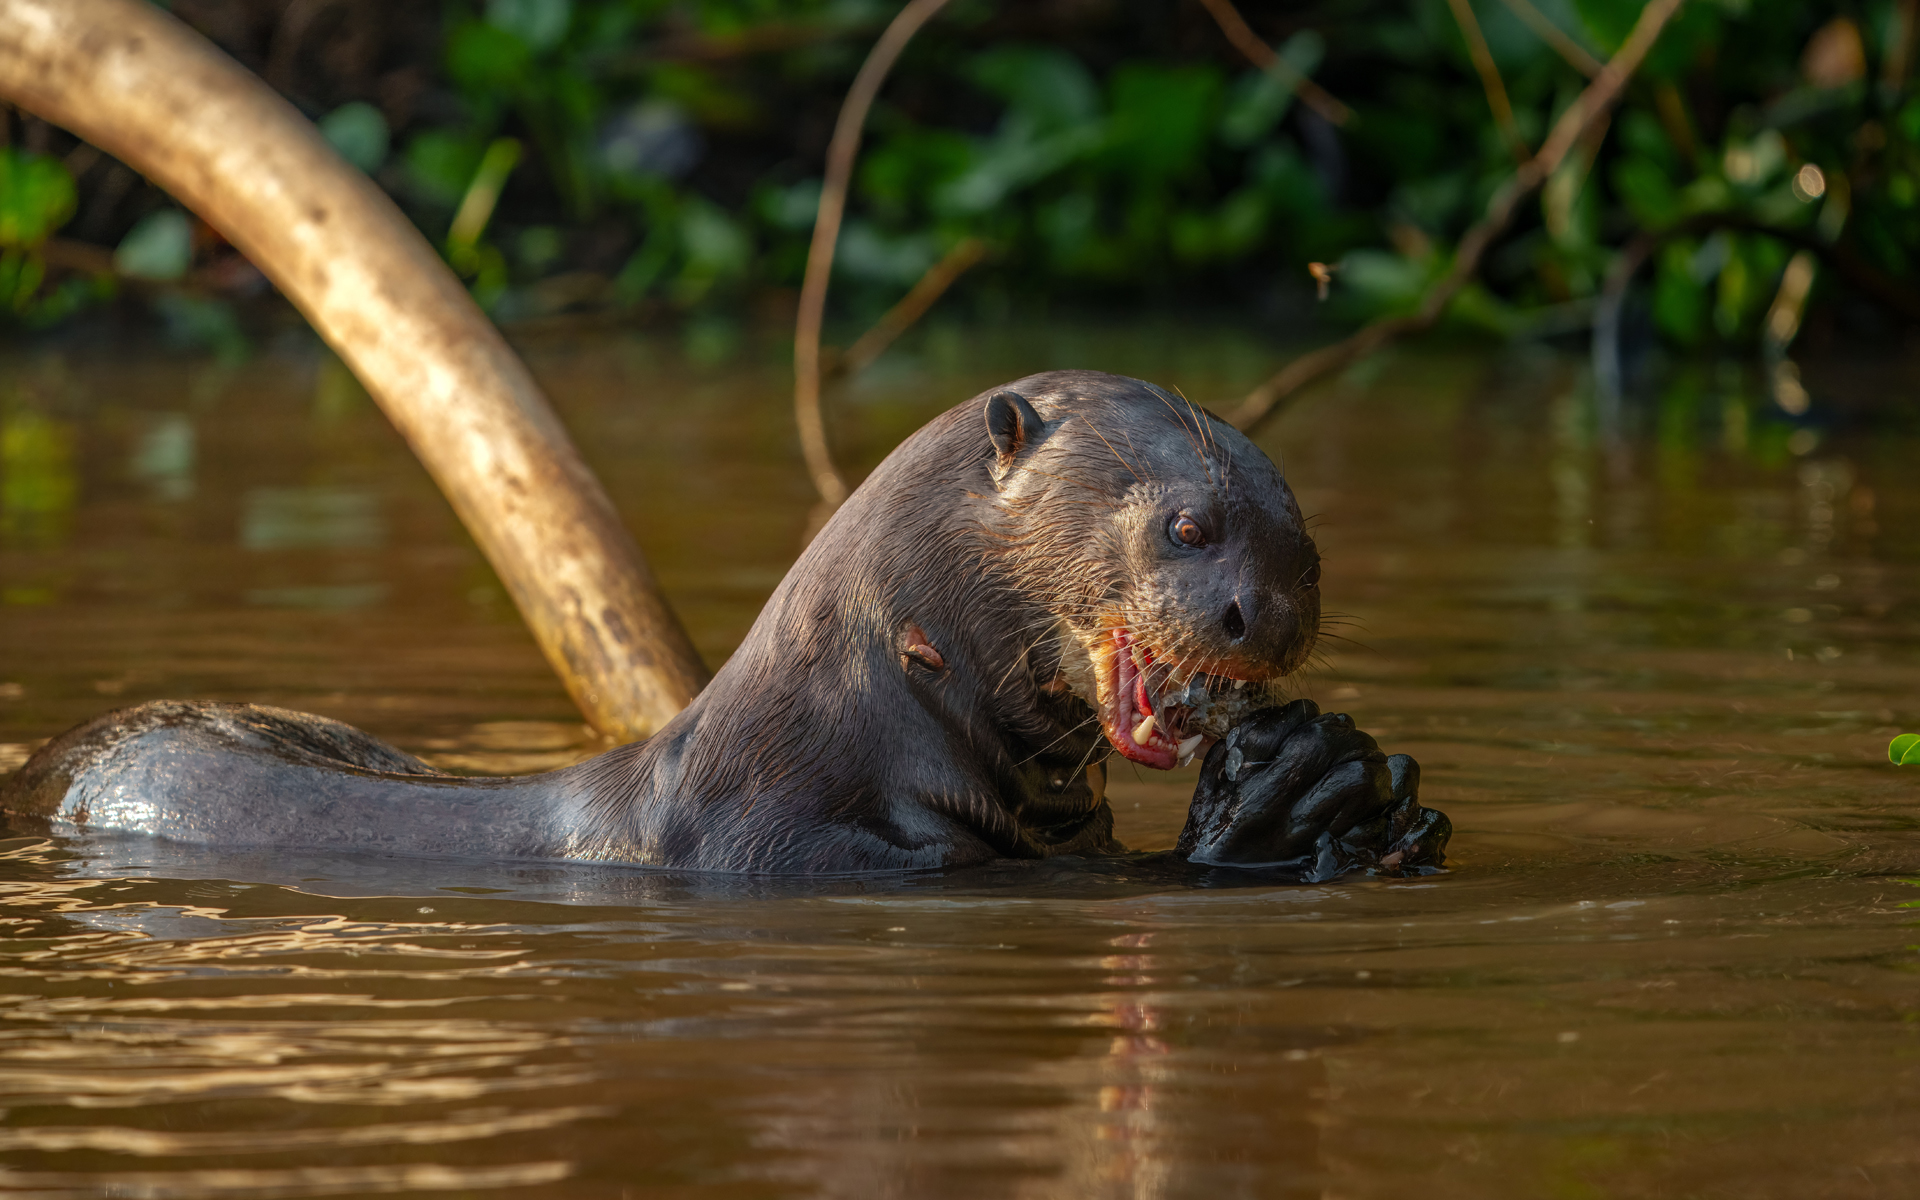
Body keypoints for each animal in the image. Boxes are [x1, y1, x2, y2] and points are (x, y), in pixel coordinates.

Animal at [2, 371, 1449, 878]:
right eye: (1190, 530)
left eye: (1309, 554)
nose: (1268, 617)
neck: (849, 731)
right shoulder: (815, 852)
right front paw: (1281, 806)